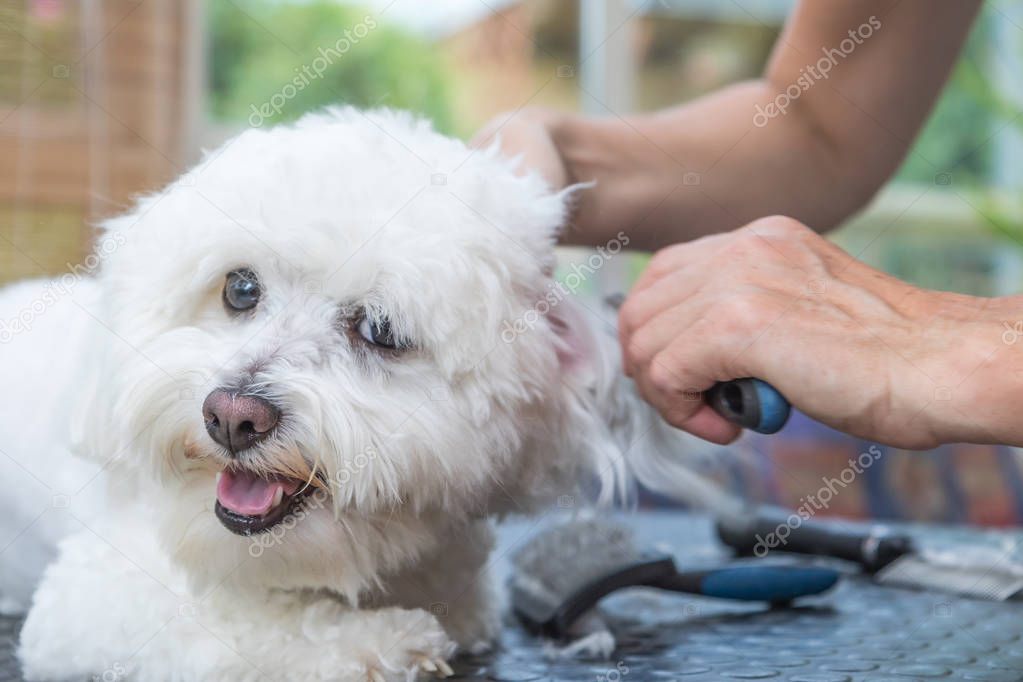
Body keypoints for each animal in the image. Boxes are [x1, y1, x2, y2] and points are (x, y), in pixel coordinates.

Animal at [0, 109, 720, 678]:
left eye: (379, 330)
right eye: (240, 288)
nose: (232, 416)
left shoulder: (466, 595)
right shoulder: (91, 599)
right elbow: (232, 623)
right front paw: (377, 641)